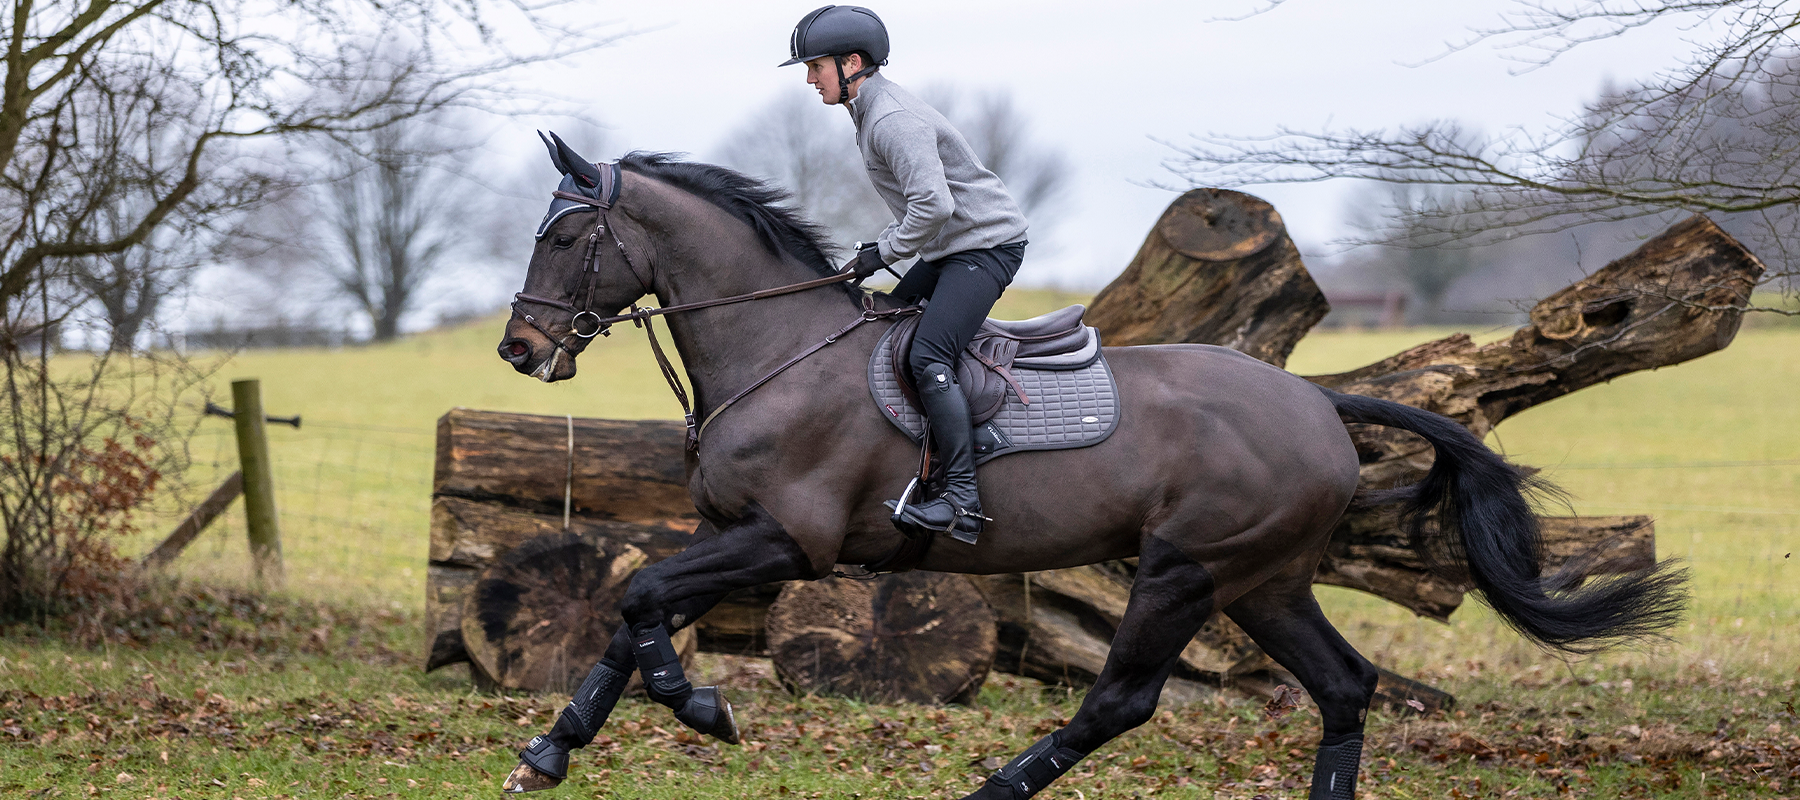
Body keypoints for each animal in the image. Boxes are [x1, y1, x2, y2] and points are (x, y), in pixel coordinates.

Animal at [494, 135, 1686, 799]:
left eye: (564, 240)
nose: (519, 347)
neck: (778, 348)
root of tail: (1316, 399)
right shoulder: (731, 535)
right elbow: (631, 612)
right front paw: (552, 750)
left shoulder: (788, 542)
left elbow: (641, 603)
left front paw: (698, 708)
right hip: (1265, 580)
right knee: (1345, 685)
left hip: (1186, 569)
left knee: (1120, 699)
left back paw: (994, 789)